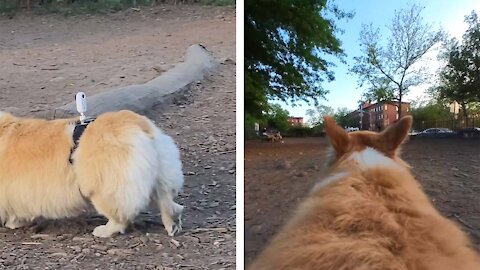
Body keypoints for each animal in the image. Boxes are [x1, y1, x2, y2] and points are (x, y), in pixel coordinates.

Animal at [0, 108, 184, 237]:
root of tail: (139, 125)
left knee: (120, 218)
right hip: (161, 176)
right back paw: (173, 225)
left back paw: (103, 231)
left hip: (103, 191)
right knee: (166, 203)